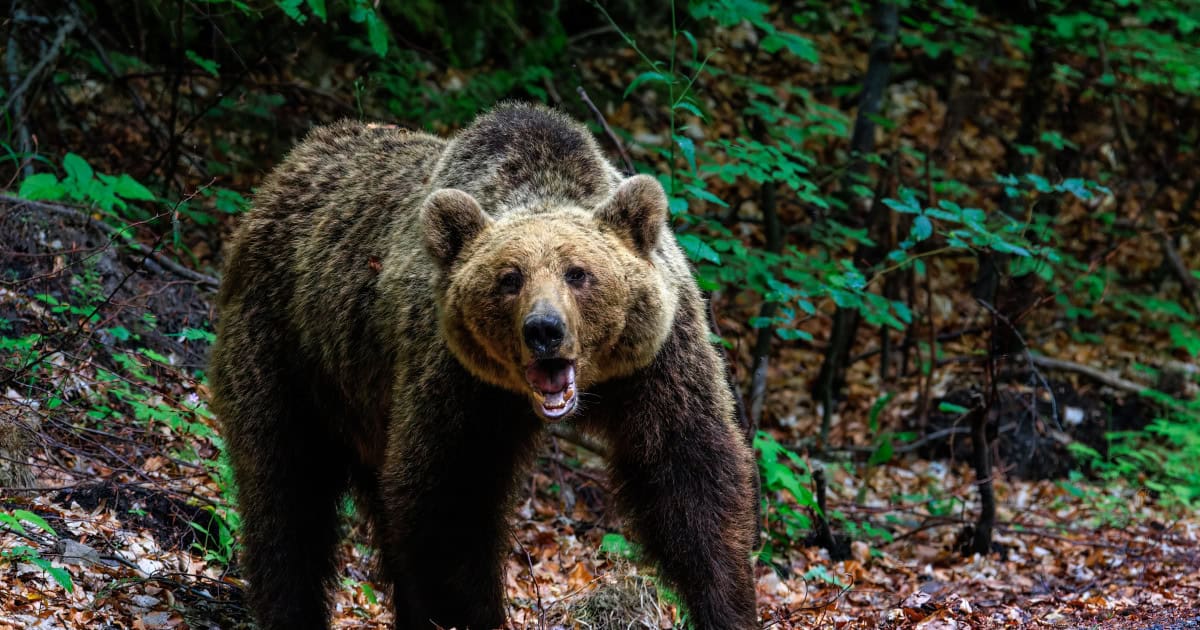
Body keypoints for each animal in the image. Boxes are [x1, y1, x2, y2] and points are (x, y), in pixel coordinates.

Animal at [204, 103, 748, 628]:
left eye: (578, 273)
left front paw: (726, 605)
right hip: (288, 351)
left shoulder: (655, 363)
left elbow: (689, 478)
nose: (544, 330)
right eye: (509, 278)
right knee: (286, 492)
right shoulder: (457, 381)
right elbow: (450, 504)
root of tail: (286, 168)